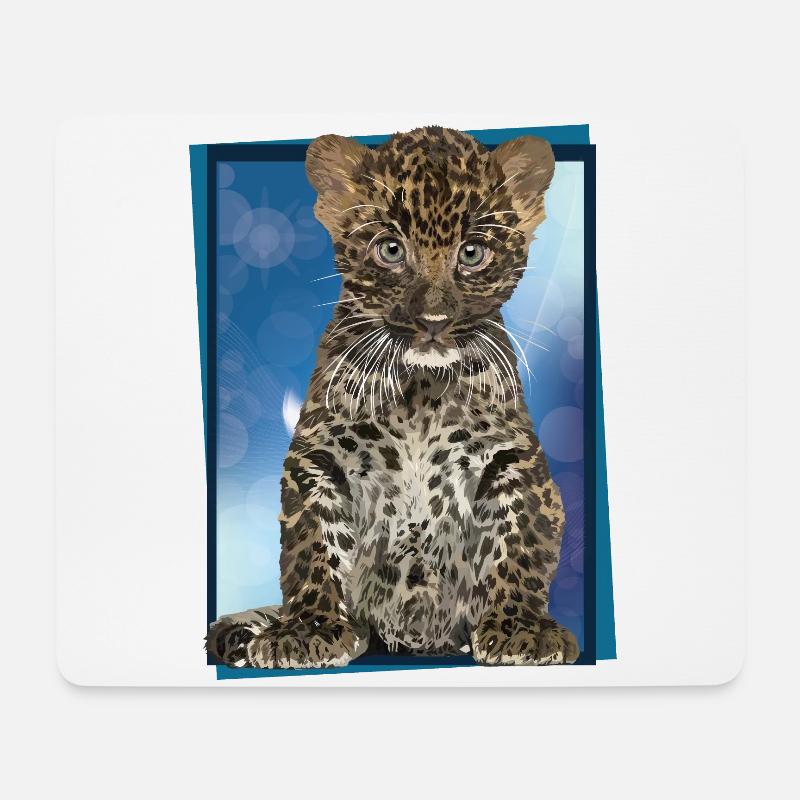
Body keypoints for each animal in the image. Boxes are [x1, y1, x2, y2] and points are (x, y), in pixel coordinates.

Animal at [206, 126, 580, 668]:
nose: (433, 321)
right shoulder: (319, 456)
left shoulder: (512, 457)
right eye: (390, 249)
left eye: (472, 253)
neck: (420, 391)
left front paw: (521, 629)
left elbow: (521, 540)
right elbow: (312, 543)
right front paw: (307, 629)